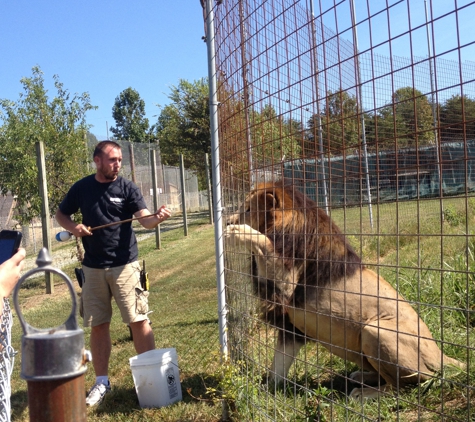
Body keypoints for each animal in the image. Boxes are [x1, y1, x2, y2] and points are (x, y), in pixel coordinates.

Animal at [226, 181, 464, 398]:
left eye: (248, 209)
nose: (228, 220)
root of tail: (441, 355)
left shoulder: (286, 286)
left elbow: (263, 244)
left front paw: (238, 231)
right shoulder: (291, 327)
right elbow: (278, 365)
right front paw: (265, 392)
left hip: (374, 330)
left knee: (401, 387)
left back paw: (364, 394)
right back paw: (361, 376)